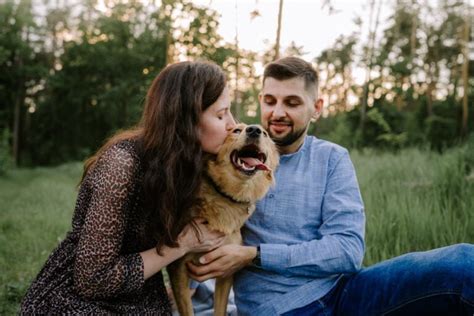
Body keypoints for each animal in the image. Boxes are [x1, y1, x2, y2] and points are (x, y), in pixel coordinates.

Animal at [167, 123, 278, 316]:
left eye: (264, 133)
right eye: (236, 130)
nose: (254, 130)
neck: (226, 196)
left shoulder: (225, 269)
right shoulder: (178, 267)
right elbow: (187, 311)